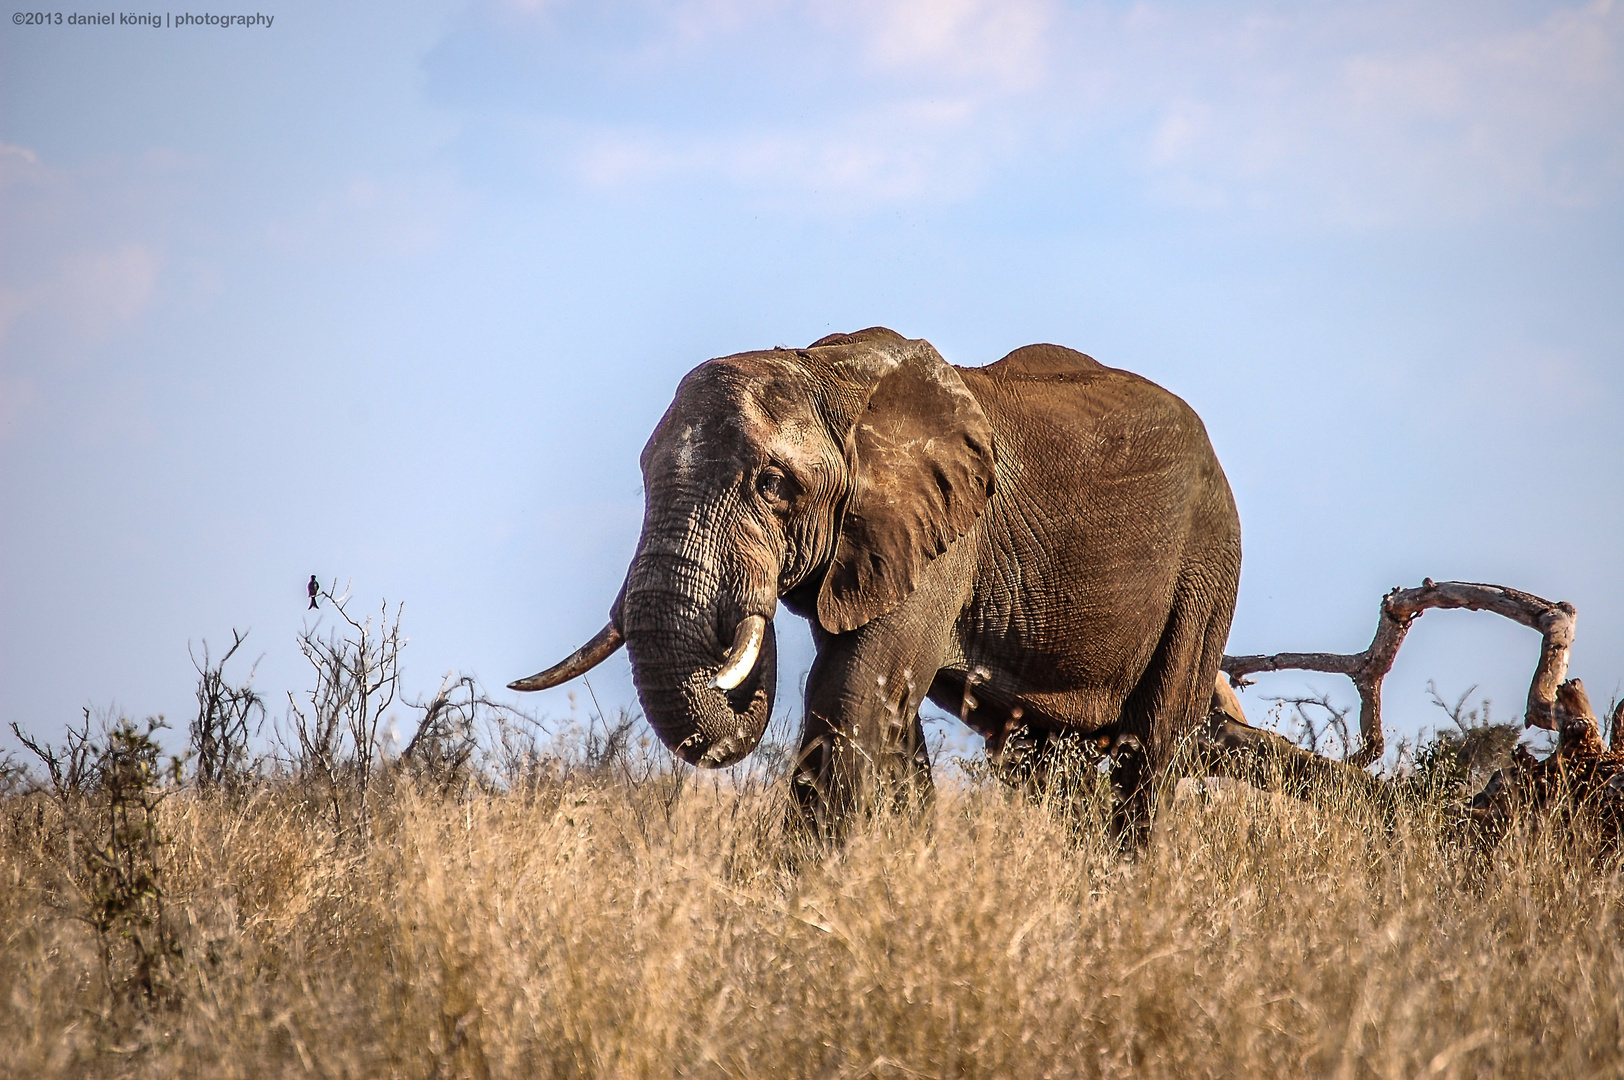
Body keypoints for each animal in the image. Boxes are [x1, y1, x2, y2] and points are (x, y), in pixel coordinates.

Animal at [513, 328, 1234, 844]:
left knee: (1153, 745)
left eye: (772, 485)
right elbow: (888, 715)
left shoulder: (945, 540)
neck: (825, 372)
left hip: (1206, 565)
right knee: (1041, 762)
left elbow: (853, 691)